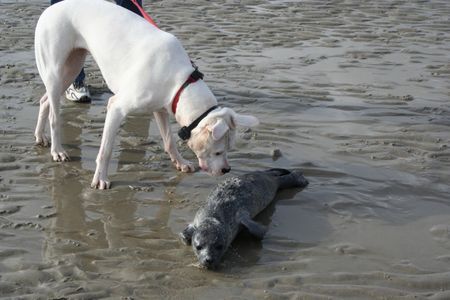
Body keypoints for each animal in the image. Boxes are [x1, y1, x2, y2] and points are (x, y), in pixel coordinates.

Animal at [33, 0, 258, 189]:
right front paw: (101, 178)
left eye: (229, 149)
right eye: (218, 151)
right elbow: (106, 150)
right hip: (56, 71)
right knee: (54, 116)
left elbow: (169, 141)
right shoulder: (116, 107)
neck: (180, 81)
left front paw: (181, 162)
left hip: (71, 67)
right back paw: (57, 150)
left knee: (44, 100)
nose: (227, 170)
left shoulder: (161, 108)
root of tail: (50, 10)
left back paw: (40, 136)